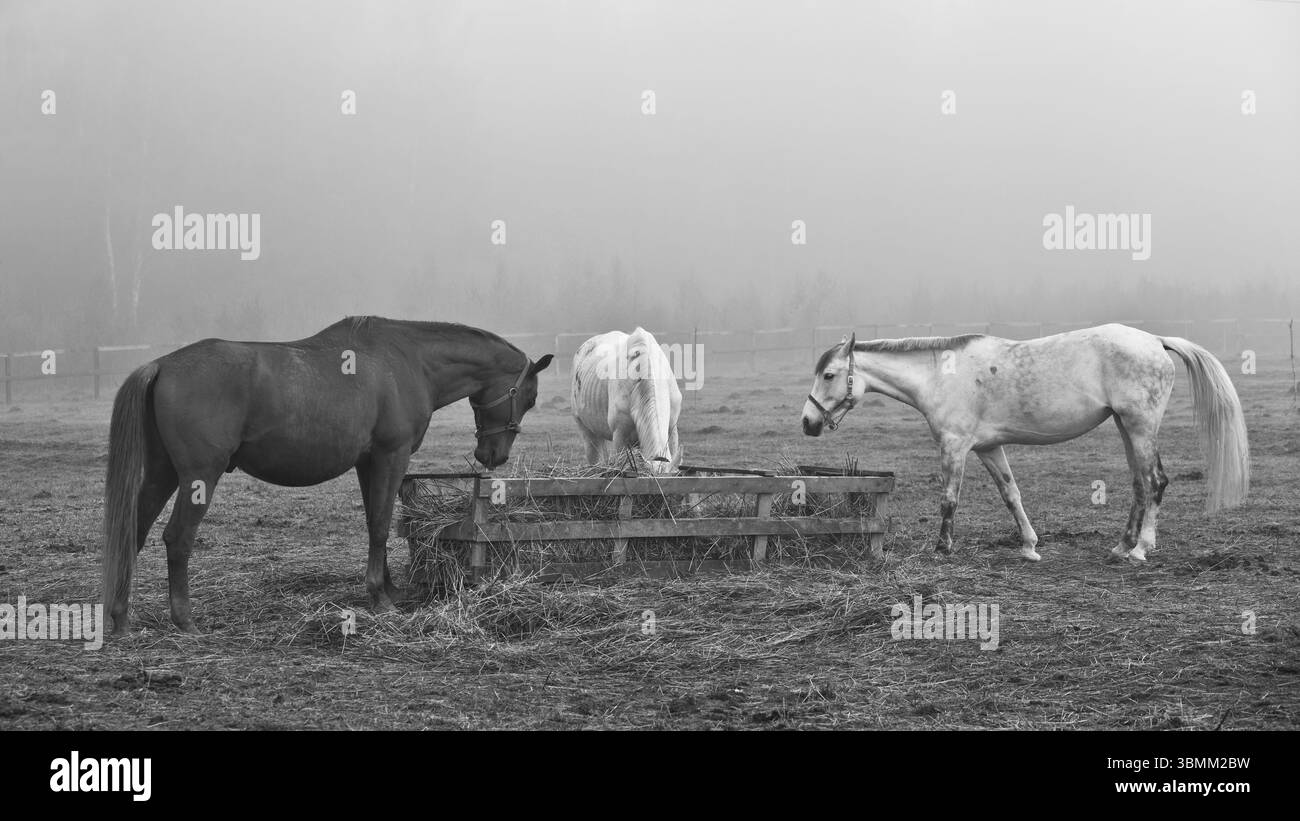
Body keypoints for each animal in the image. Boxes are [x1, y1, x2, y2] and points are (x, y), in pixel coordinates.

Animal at [102, 316, 553, 635]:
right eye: (529, 397)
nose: (492, 455)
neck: (408, 360)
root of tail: (162, 365)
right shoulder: (391, 457)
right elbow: (380, 525)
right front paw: (380, 598)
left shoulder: (368, 463)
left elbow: (375, 523)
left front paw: (388, 588)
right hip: (199, 477)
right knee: (177, 538)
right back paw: (184, 619)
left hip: (162, 474)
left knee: (133, 531)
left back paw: (121, 617)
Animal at [801, 324, 1249, 563]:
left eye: (829, 375)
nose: (807, 422)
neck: (942, 375)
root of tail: (1155, 340)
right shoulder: (987, 448)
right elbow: (1011, 494)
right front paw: (1030, 547)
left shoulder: (955, 448)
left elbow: (949, 500)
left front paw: (943, 547)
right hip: (1127, 427)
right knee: (1141, 484)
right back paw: (1122, 546)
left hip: (1140, 427)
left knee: (1156, 482)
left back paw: (1141, 549)